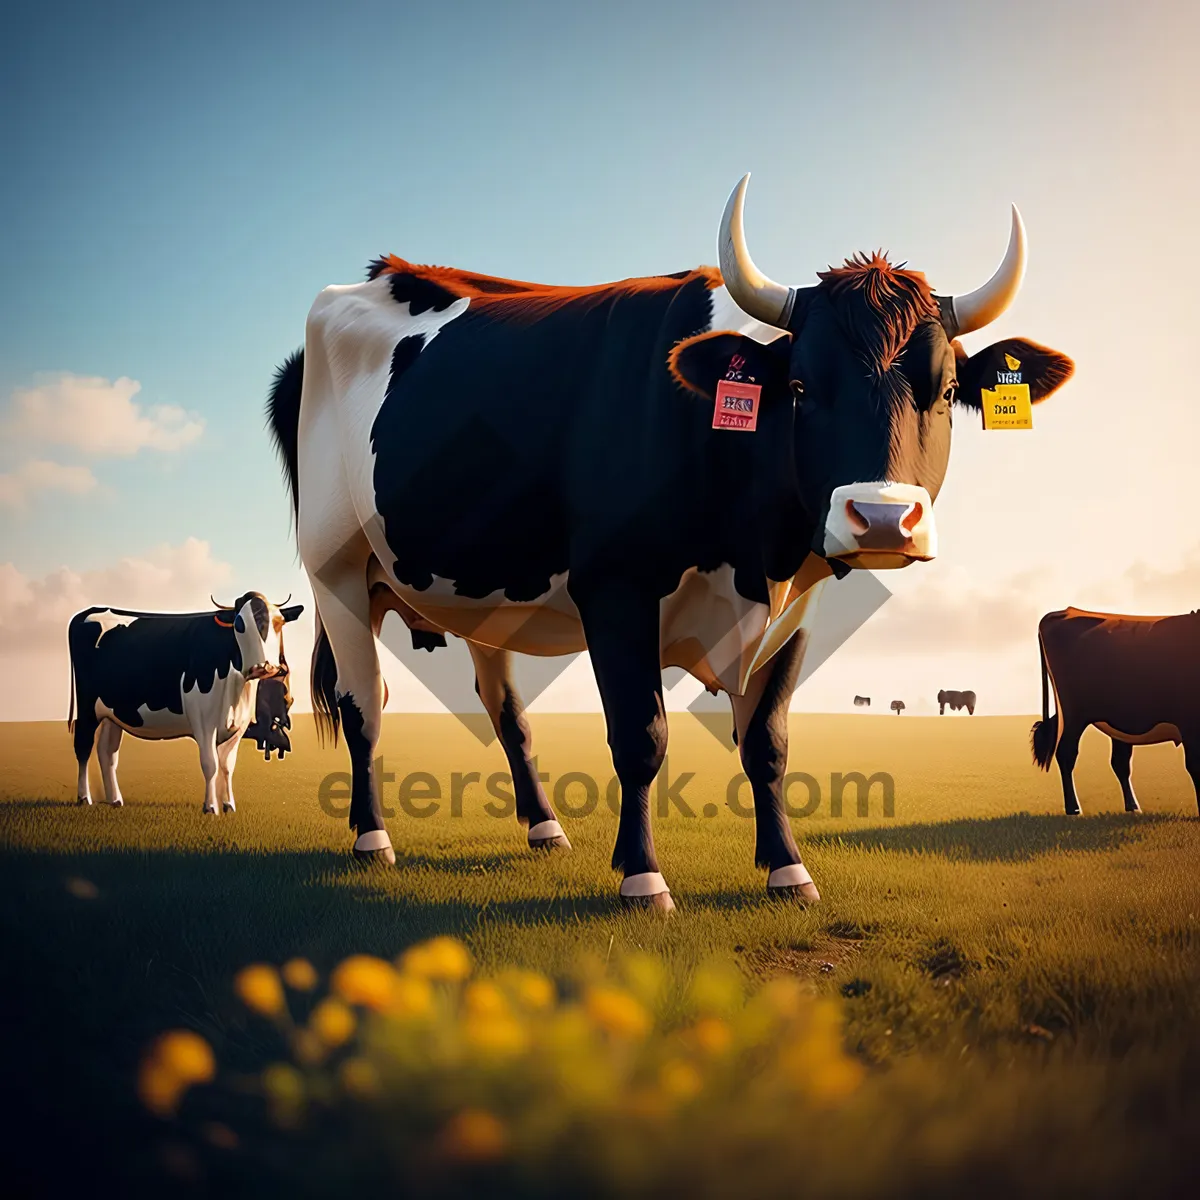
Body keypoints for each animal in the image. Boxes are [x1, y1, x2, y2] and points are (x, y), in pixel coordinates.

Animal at [68, 592, 302, 811]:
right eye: (239, 624)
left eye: (279, 622)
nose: (264, 666)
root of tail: (90, 611)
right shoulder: (204, 720)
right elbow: (210, 764)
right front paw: (210, 807)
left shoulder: (238, 724)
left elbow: (227, 765)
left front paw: (228, 805)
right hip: (87, 706)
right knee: (83, 746)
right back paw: (84, 798)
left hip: (112, 712)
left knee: (107, 752)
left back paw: (115, 800)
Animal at [267, 175, 1075, 907]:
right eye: (802, 389)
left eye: (946, 391)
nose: (880, 519)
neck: (753, 552)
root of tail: (377, 275)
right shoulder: (614, 588)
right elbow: (641, 736)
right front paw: (643, 877)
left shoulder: (795, 610)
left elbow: (768, 742)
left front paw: (787, 868)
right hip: (337, 572)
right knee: (363, 703)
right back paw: (373, 838)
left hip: (474, 592)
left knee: (504, 710)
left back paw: (544, 828)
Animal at [1027, 609, 1200, 816]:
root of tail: (1066, 611)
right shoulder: (1189, 724)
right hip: (1073, 716)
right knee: (1066, 753)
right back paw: (1073, 808)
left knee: (1120, 763)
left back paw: (1132, 806)